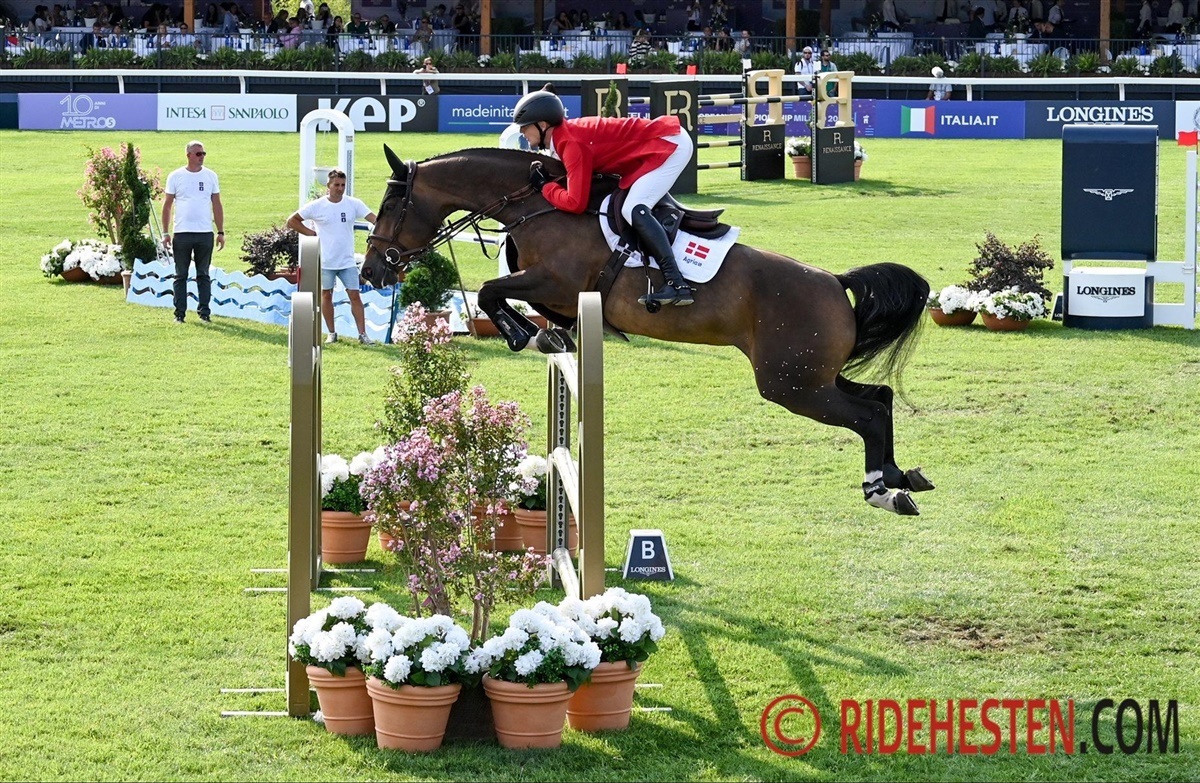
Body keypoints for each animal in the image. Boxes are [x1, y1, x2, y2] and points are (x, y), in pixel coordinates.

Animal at [361, 145, 934, 515]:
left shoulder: (555, 281)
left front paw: (526, 335)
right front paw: (546, 335)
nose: (372, 272)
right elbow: (509, 298)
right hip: (810, 376)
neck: (537, 204)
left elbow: (488, 291)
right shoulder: (553, 291)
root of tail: (836, 283)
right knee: (880, 400)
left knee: (866, 415)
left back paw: (882, 491)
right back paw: (900, 477)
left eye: (390, 206)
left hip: (791, 385)